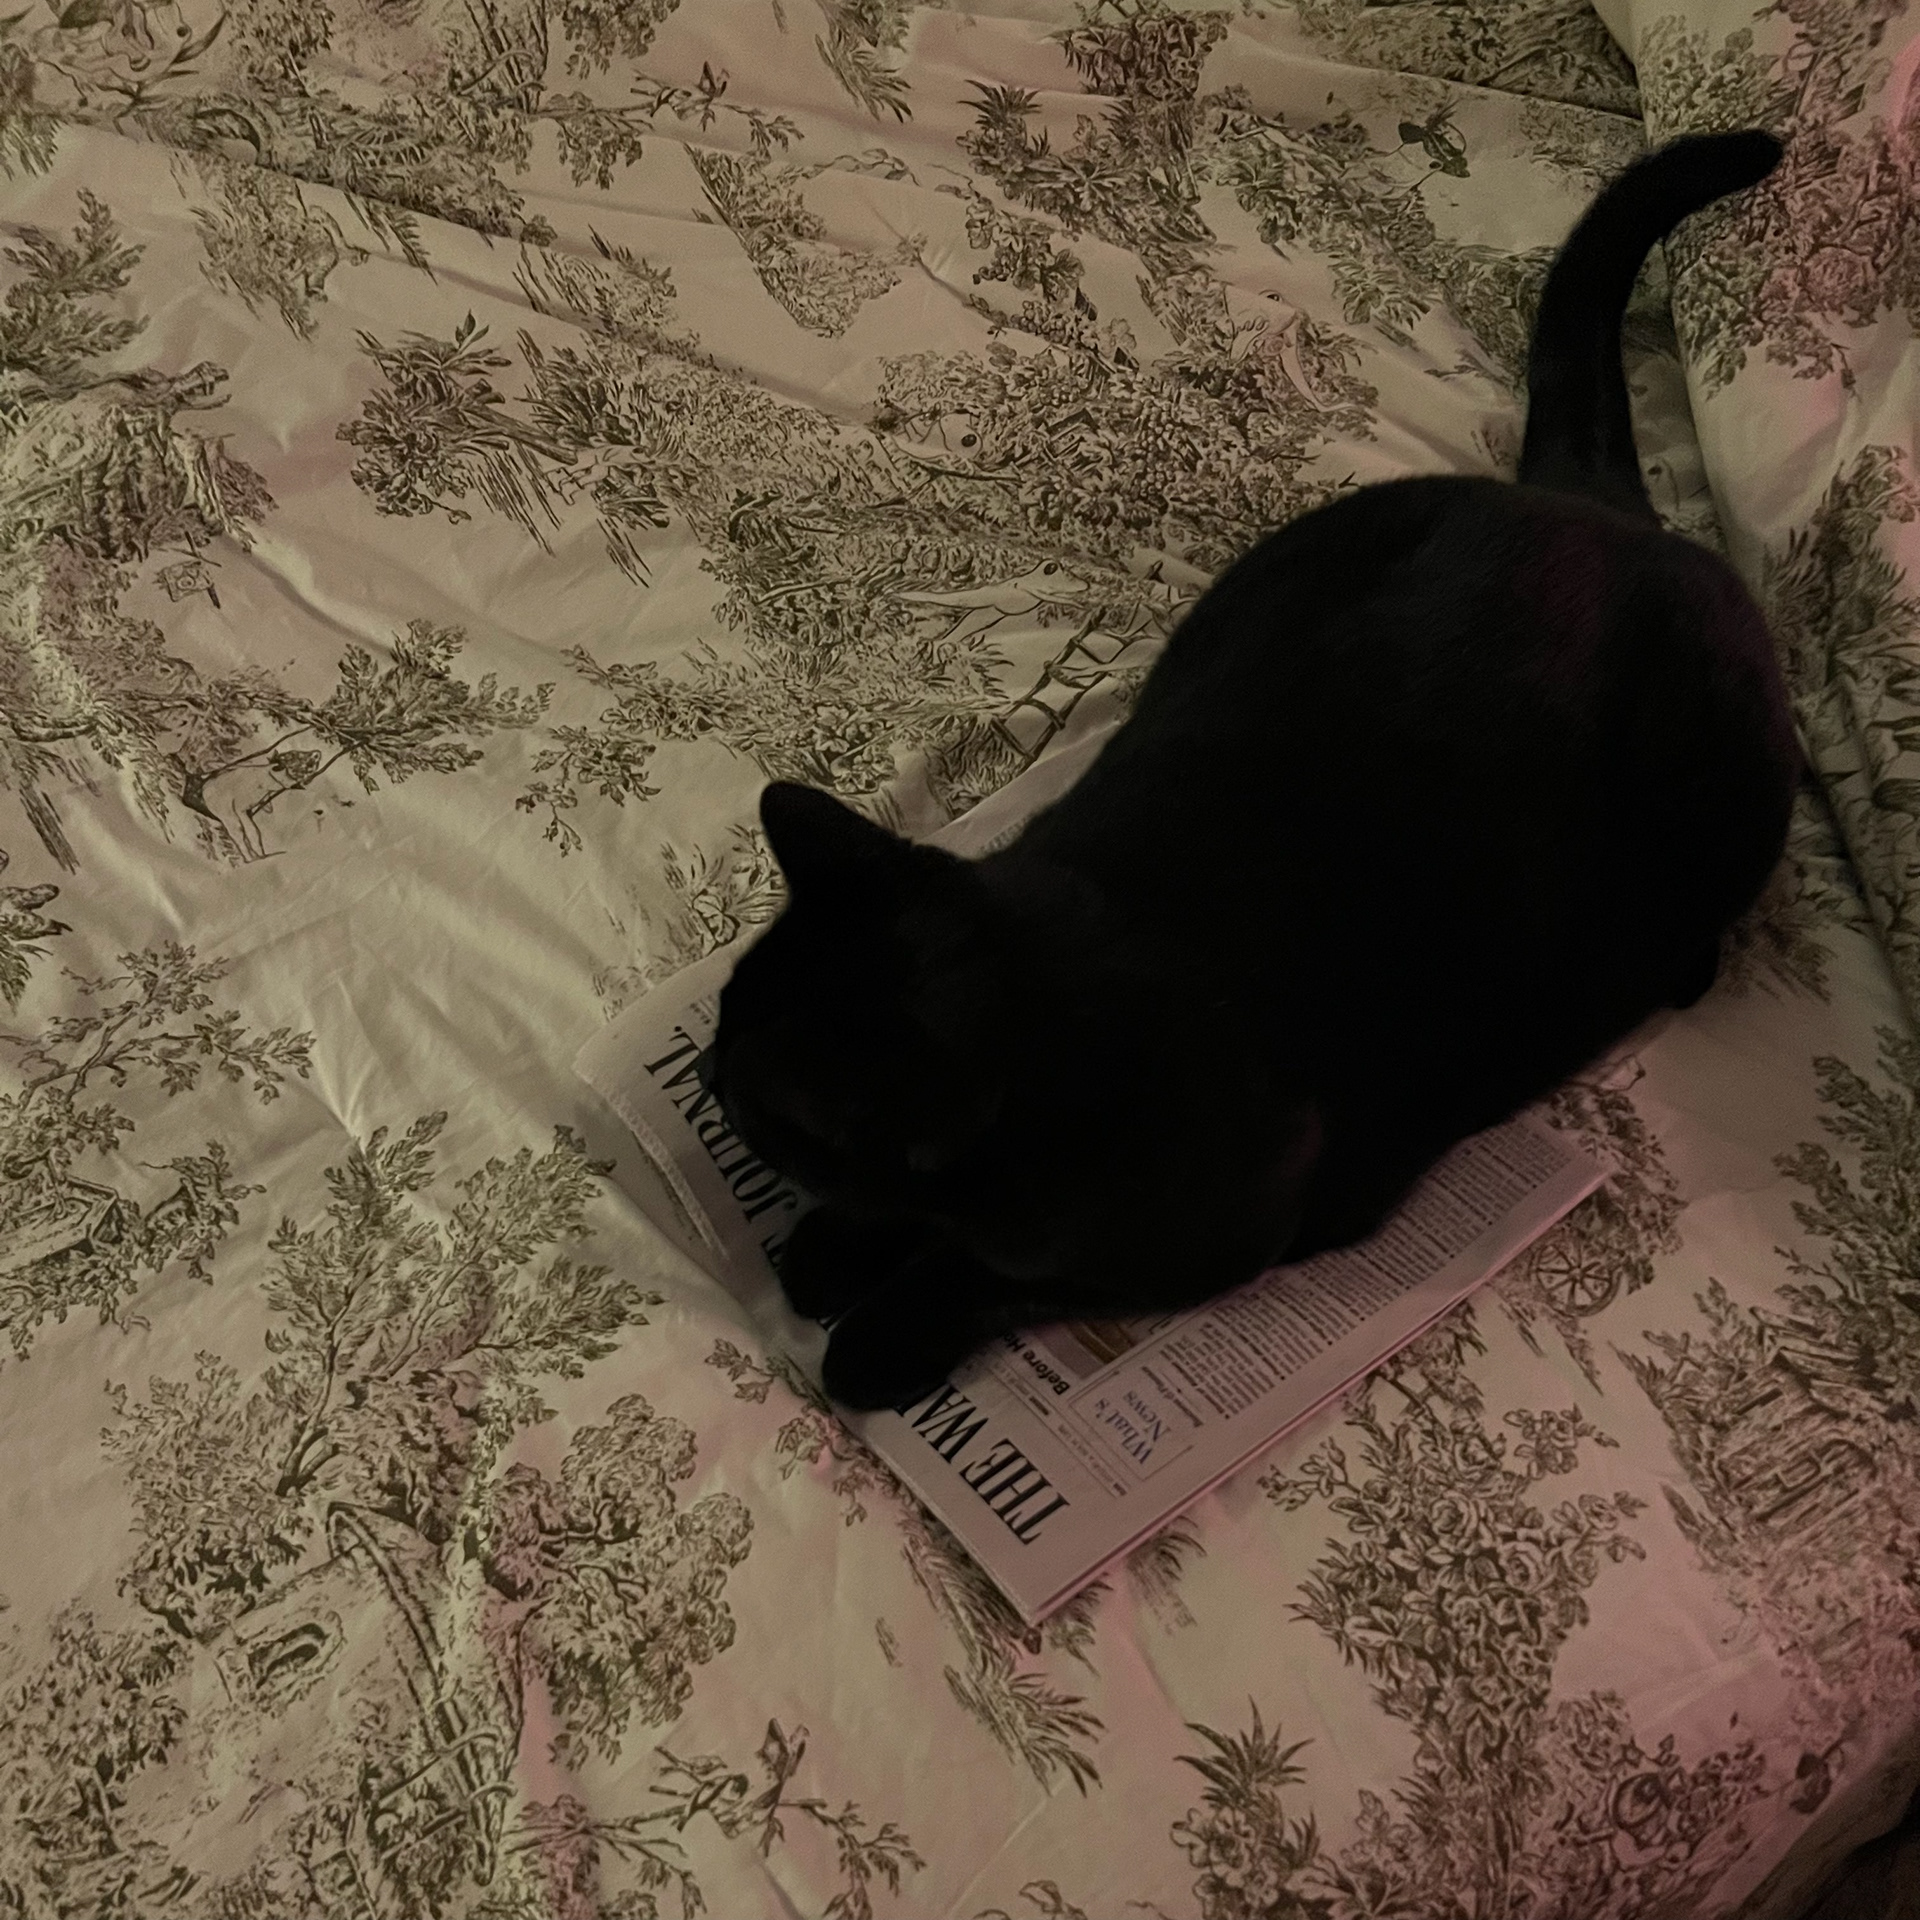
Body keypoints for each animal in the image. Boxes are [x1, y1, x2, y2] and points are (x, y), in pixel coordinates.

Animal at [708, 130, 1801, 1412]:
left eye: (753, 1103)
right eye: (717, 1026)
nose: (706, 1076)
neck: (1056, 991)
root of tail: (1585, 499)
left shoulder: (1225, 1228)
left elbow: (997, 1273)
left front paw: (881, 1325)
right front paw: (840, 1244)